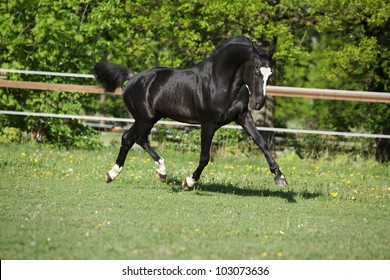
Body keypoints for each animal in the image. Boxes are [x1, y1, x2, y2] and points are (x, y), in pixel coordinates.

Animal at [93, 36, 288, 190]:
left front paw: (280, 177)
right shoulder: (208, 123)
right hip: (145, 119)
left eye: (269, 73)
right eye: (256, 71)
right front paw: (188, 182)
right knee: (137, 138)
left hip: (149, 118)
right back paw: (156, 172)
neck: (220, 82)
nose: (258, 103)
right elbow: (205, 157)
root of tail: (132, 78)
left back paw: (118, 174)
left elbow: (262, 143)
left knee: (130, 138)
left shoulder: (243, 117)